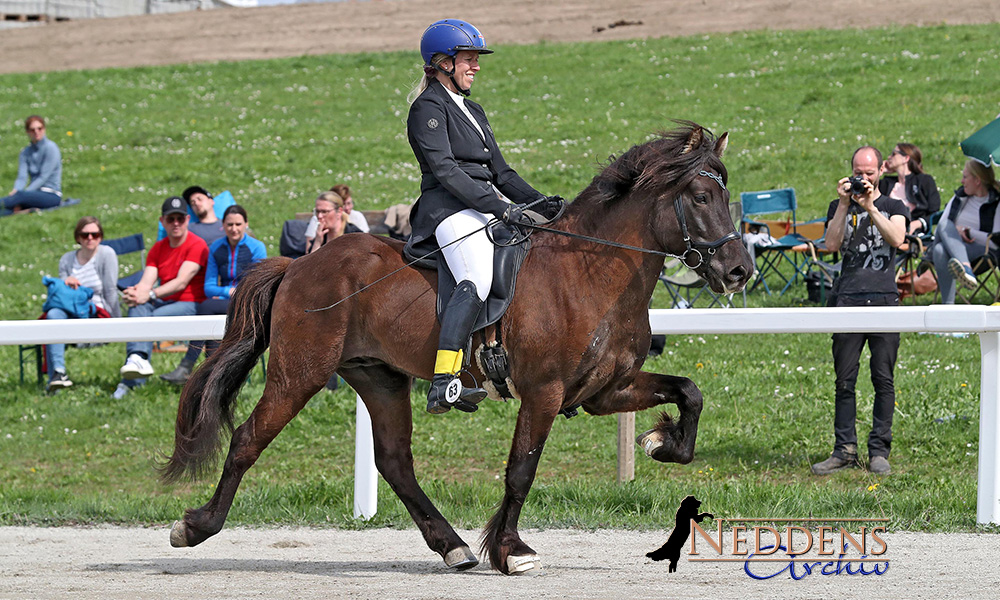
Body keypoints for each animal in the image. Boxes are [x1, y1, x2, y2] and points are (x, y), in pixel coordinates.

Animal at [162, 123, 752, 576]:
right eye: (701, 198)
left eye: (727, 197)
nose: (738, 272)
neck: (589, 272)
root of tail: (301, 263)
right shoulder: (545, 392)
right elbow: (521, 470)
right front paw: (512, 551)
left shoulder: (605, 390)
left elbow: (690, 392)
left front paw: (661, 442)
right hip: (299, 374)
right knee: (247, 440)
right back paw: (195, 526)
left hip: (378, 376)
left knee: (394, 461)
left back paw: (454, 547)